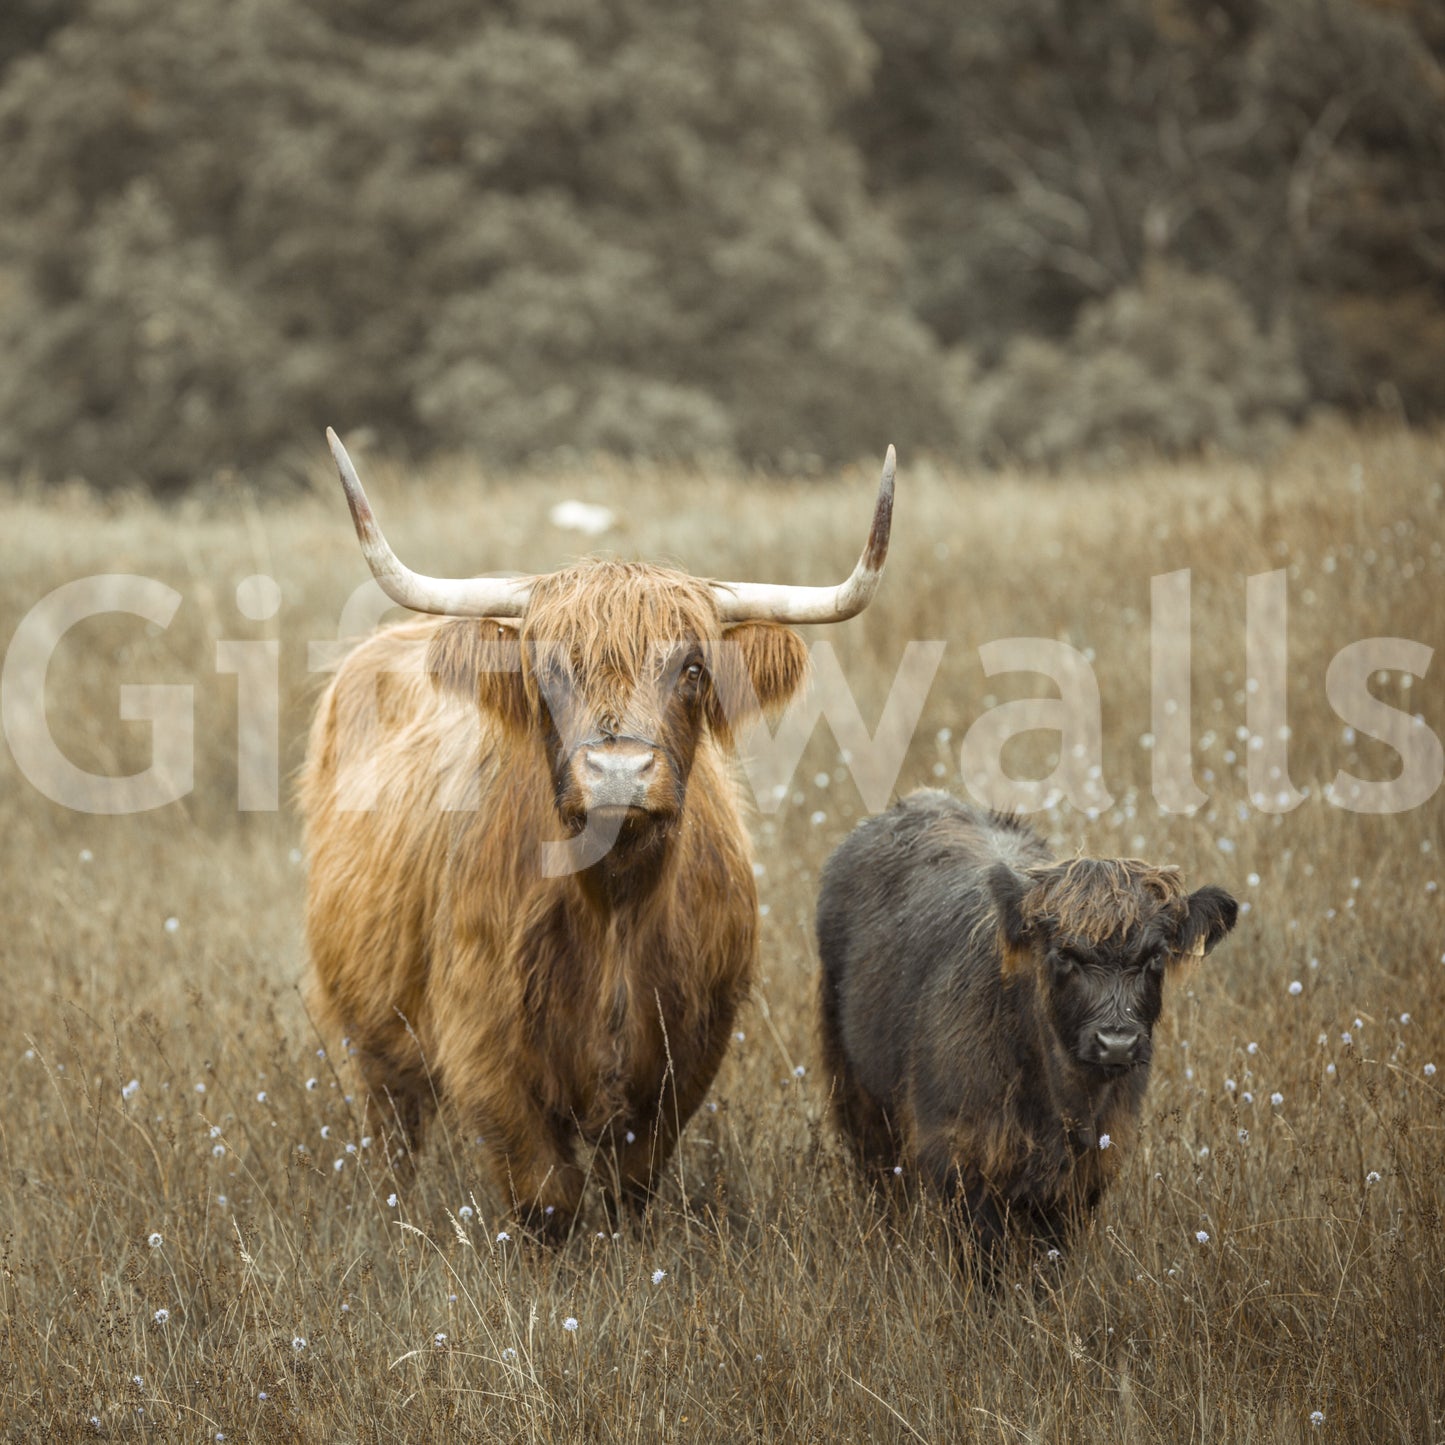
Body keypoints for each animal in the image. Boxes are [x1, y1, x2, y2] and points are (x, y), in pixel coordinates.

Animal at [301, 429, 895, 1237]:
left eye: (693, 668)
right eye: (546, 669)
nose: (617, 771)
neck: (614, 907)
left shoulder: (685, 1056)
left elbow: (628, 1190)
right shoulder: (487, 1052)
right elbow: (546, 1198)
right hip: (371, 1028)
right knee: (395, 1126)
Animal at [816, 791, 1237, 1272]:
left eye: (1155, 958)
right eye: (1064, 955)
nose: (1117, 1043)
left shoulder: (1088, 1172)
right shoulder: (962, 1158)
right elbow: (984, 1259)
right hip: (857, 1092)